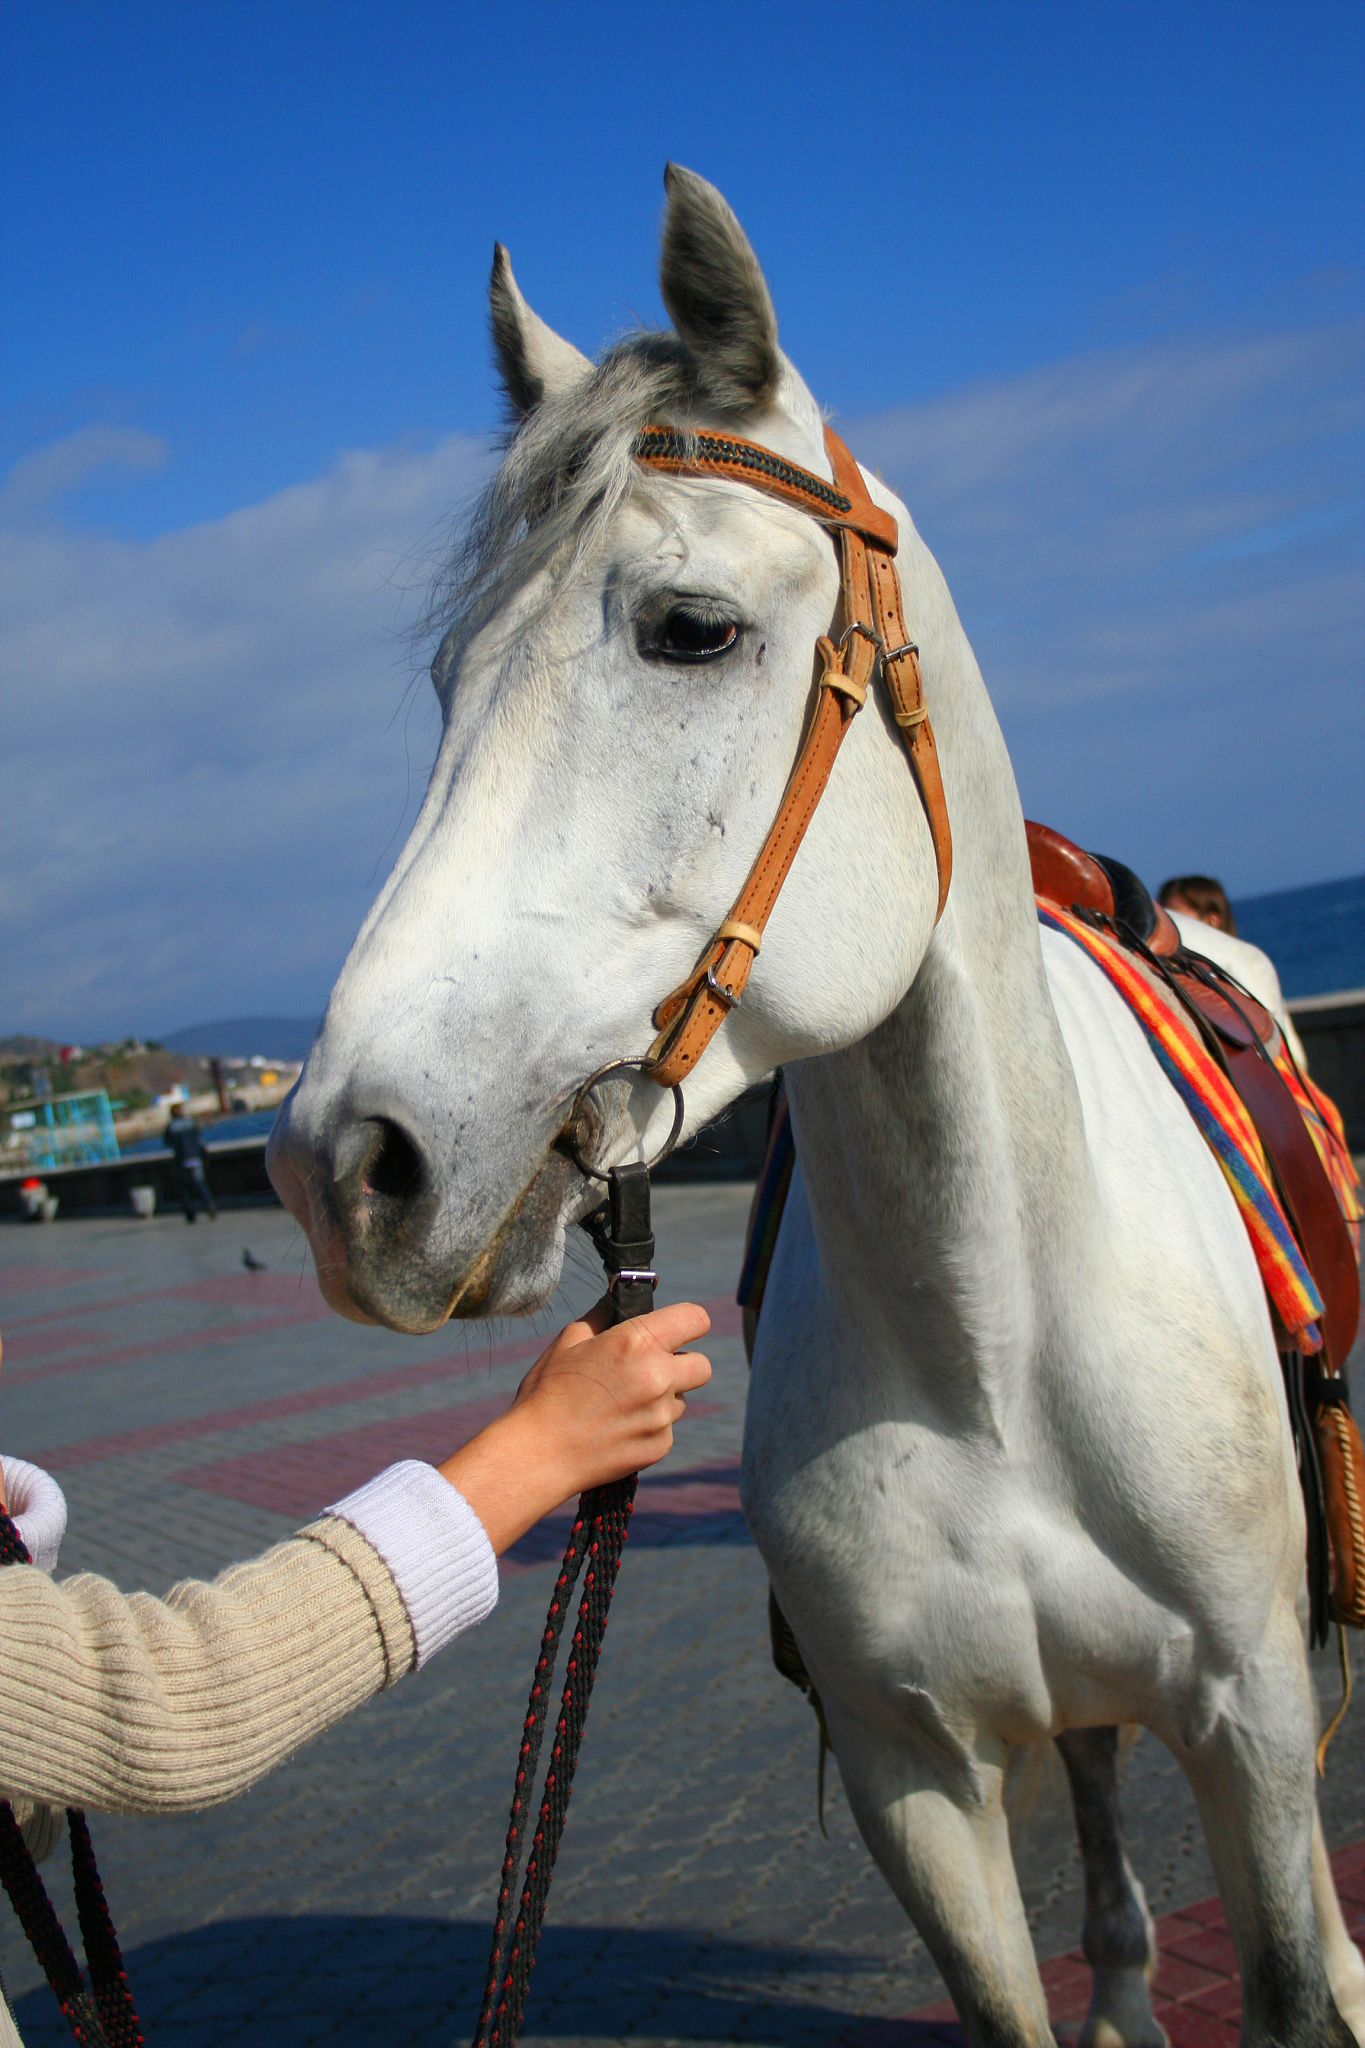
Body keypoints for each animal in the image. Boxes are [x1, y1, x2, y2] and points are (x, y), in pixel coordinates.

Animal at [267, 166, 1365, 2047]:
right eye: (447, 682)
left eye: (693, 631)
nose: (346, 1167)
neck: (995, 1336)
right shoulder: (913, 1776)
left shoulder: (1252, 1734)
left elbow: (1300, 1975)